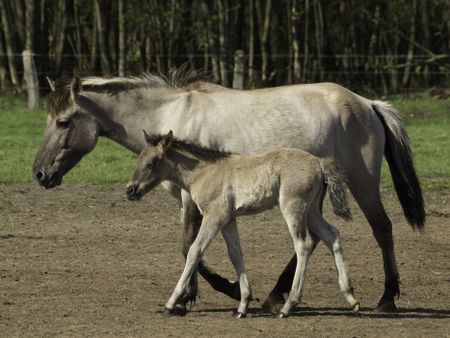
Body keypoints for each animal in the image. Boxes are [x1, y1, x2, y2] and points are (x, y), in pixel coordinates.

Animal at [125, 130, 358, 316]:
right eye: (139, 160)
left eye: (151, 163)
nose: (130, 190)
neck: (204, 172)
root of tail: (319, 163)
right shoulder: (229, 219)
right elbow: (235, 254)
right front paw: (243, 304)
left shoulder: (214, 216)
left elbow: (194, 251)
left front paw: (170, 303)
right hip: (310, 211)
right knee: (331, 235)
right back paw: (351, 298)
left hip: (293, 207)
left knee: (303, 245)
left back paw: (288, 306)